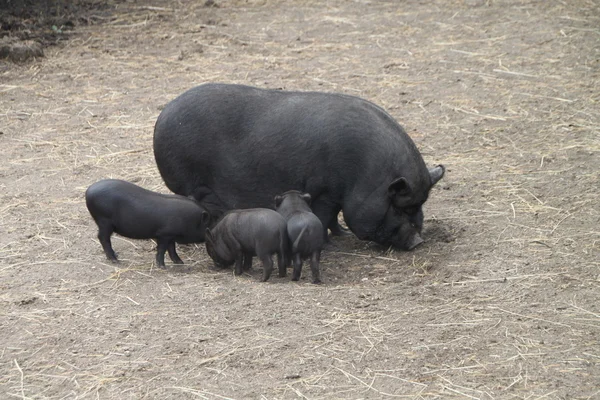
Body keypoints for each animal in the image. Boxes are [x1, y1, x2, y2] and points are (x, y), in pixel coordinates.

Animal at [155, 83, 446, 248]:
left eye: (420, 205)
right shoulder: (325, 190)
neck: (364, 176)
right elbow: (325, 215)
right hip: (191, 183)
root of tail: (162, 117)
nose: (418, 241)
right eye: (398, 207)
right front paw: (330, 245)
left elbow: (335, 218)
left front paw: (341, 235)